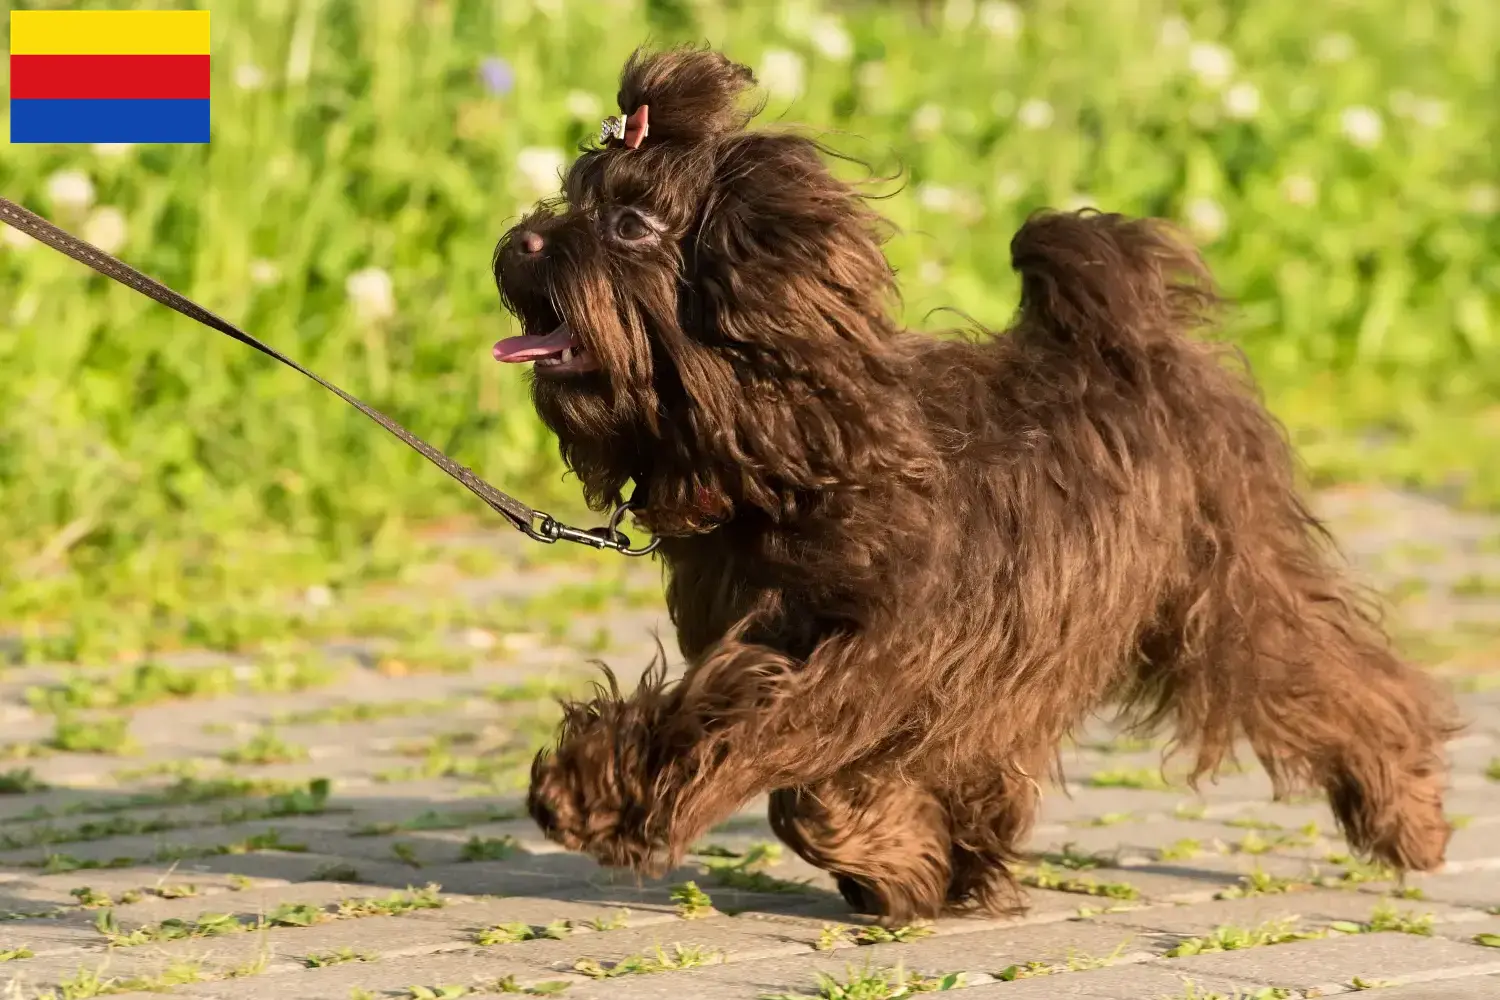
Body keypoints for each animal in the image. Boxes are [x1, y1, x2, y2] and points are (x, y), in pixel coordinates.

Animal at [498, 44, 1458, 923]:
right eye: (574, 194)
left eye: (631, 223)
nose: (521, 238)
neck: (795, 452)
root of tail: (1133, 340)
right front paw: (918, 864)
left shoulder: (873, 660)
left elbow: (775, 758)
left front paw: (604, 798)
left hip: (1225, 589)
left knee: (1335, 679)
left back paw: (1408, 812)